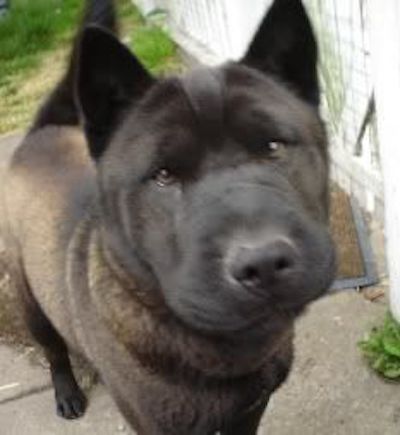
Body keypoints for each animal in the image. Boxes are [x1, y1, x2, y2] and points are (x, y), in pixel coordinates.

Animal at [1, 0, 336, 432]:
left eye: (274, 146)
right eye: (163, 175)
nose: (262, 264)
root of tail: (41, 132)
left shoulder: (251, 409)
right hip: (29, 301)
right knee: (54, 351)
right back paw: (67, 392)